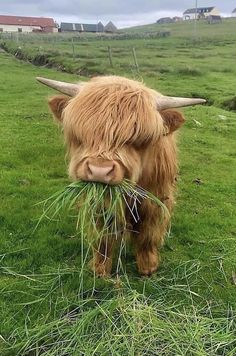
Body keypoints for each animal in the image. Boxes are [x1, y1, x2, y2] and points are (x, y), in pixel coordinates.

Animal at [37, 75, 205, 276]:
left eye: (139, 139)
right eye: (81, 134)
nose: (99, 171)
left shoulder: (155, 199)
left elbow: (149, 233)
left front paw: (148, 266)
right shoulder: (99, 203)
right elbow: (103, 236)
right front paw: (100, 268)